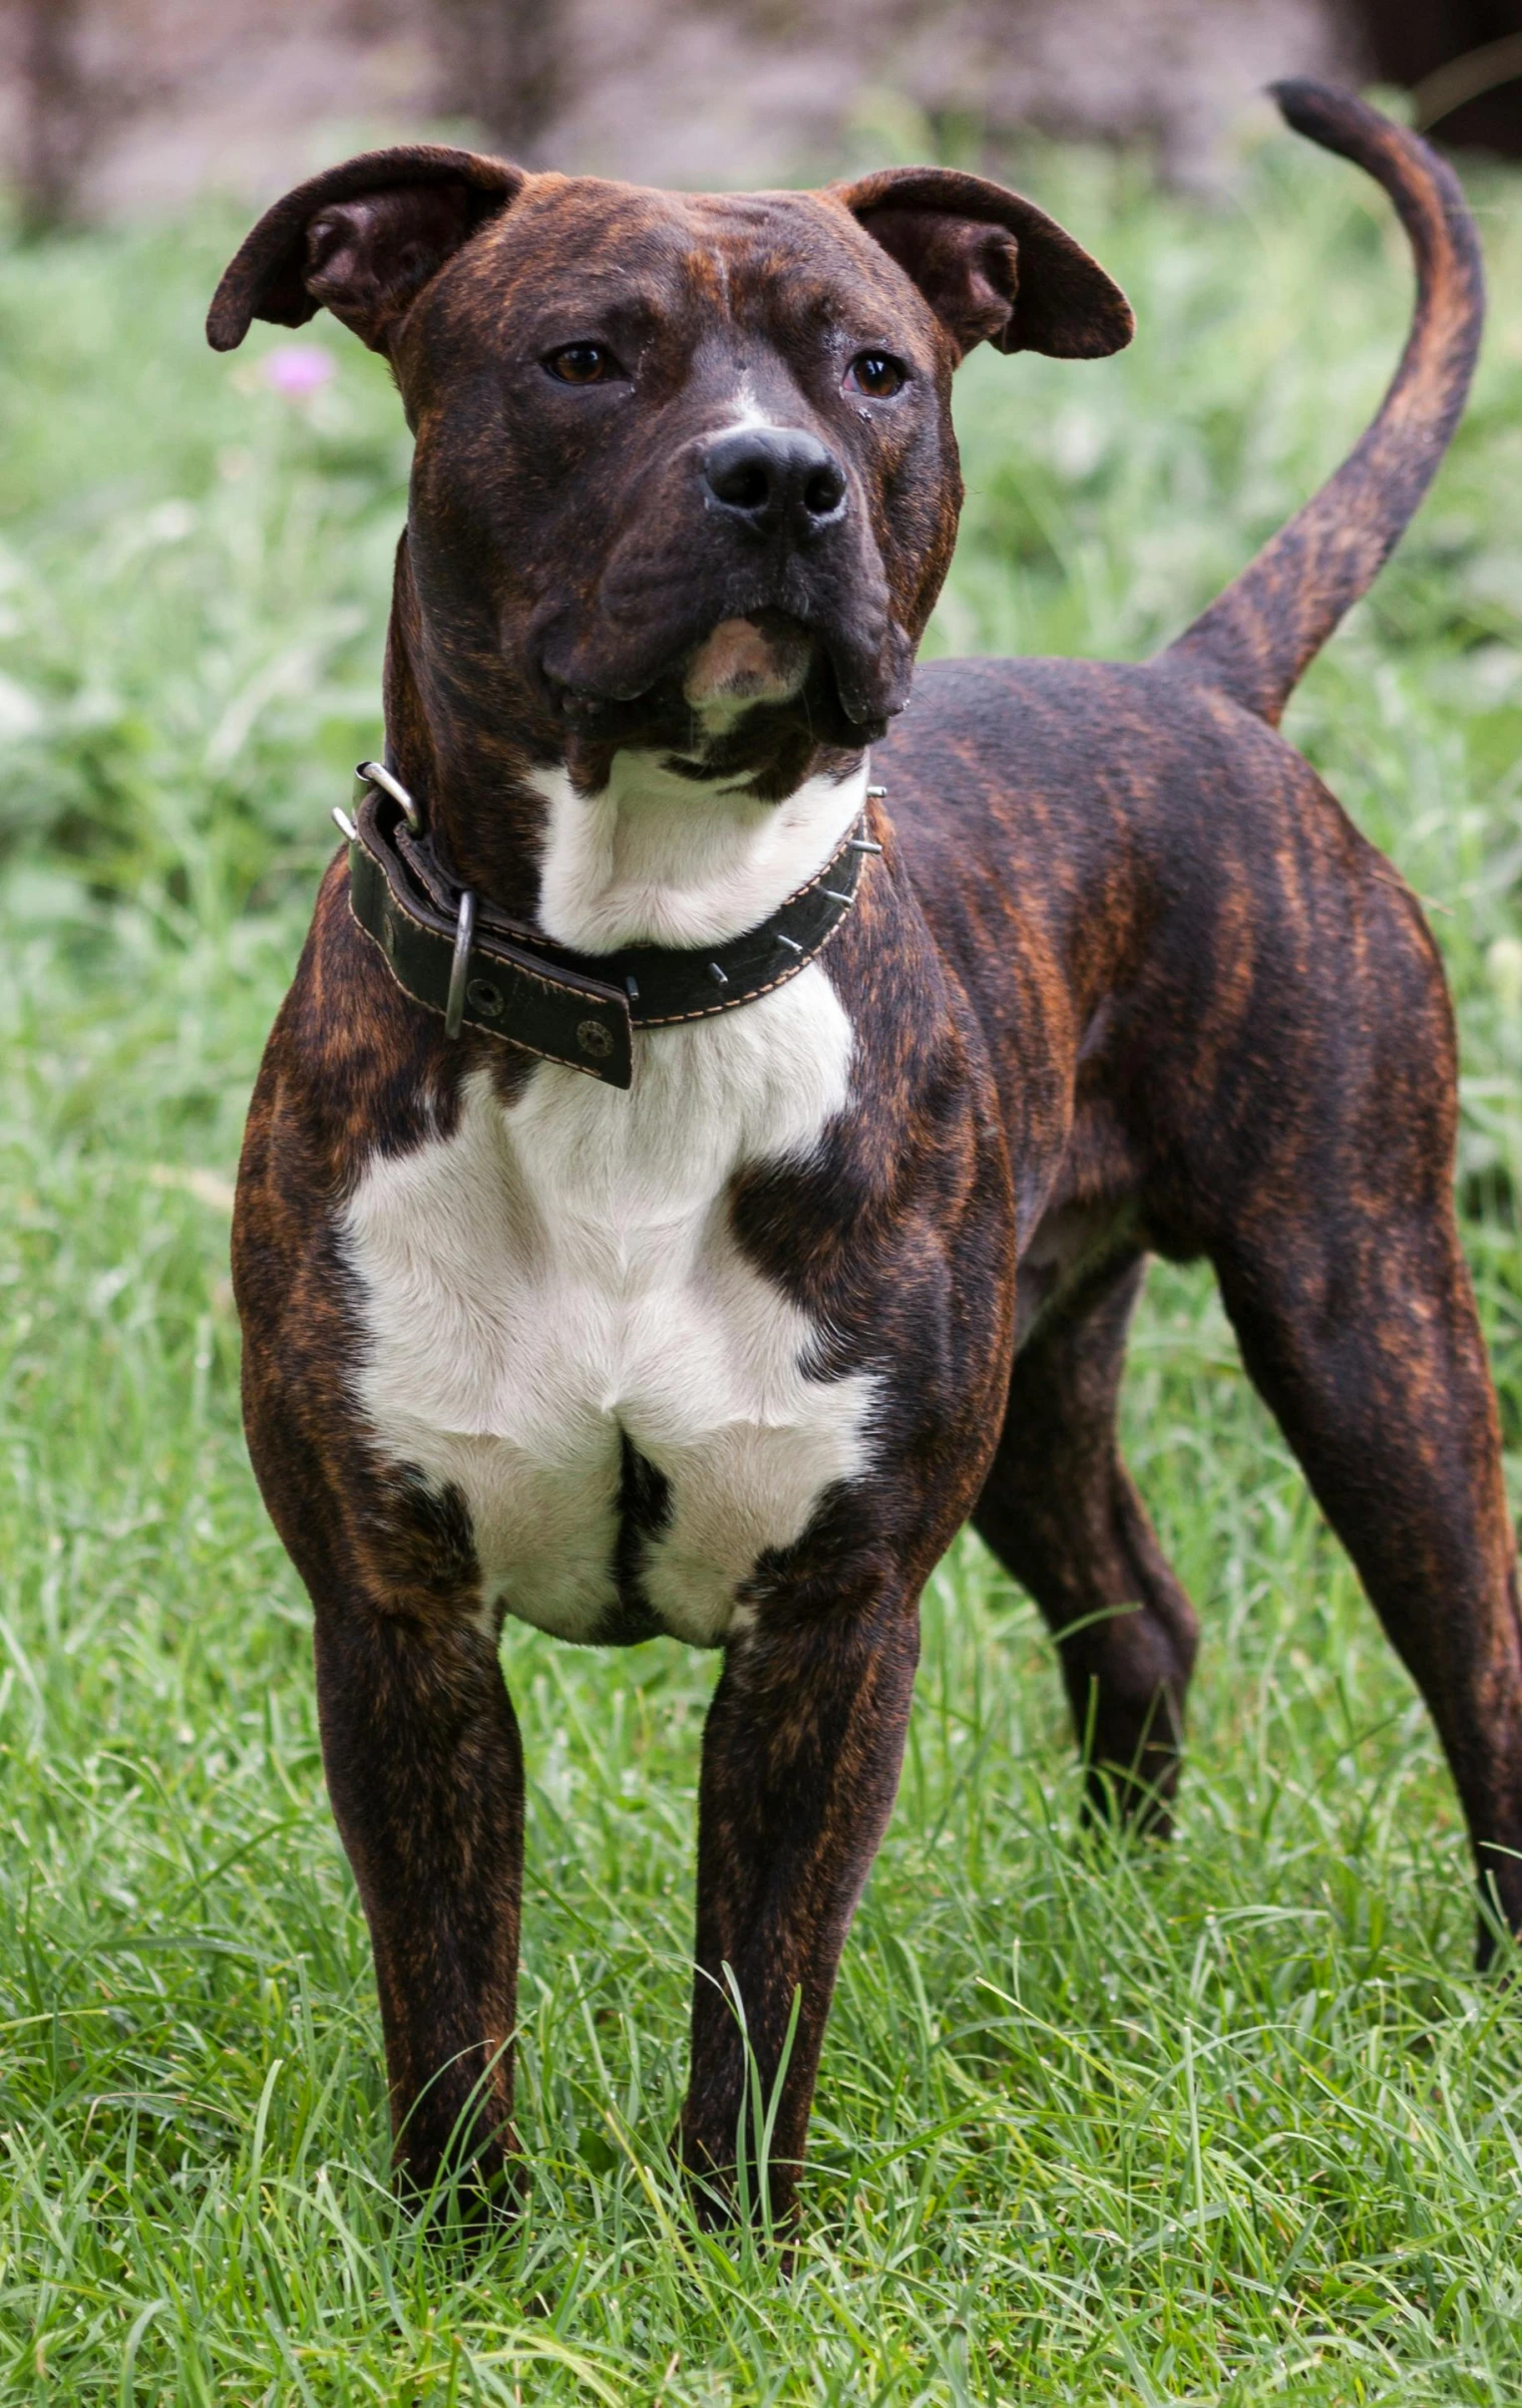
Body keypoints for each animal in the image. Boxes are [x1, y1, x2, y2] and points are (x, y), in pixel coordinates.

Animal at [207, 80, 1512, 2215]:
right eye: (584, 357)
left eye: (877, 369)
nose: (780, 479)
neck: (638, 984)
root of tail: (1192, 685)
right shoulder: (401, 1627)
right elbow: (450, 1996)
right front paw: (463, 2246)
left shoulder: (829, 1629)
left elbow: (760, 1984)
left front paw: (733, 2242)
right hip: (1051, 1374)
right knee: (1135, 1617)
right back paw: (1113, 1919)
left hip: (1364, 1314)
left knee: (1475, 1656)